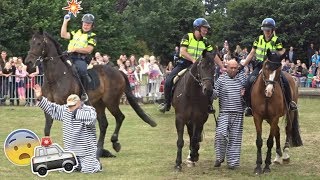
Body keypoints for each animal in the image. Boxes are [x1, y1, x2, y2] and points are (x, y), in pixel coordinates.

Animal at [23, 30, 156, 158]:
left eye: (39, 43)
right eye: (30, 43)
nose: (28, 63)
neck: (56, 78)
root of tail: (118, 71)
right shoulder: (49, 107)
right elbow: (47, 128)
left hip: (111, 102)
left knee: (120, 117)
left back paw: (115, 143)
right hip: (98, 104)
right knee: (103, 124)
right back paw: (98, 150)